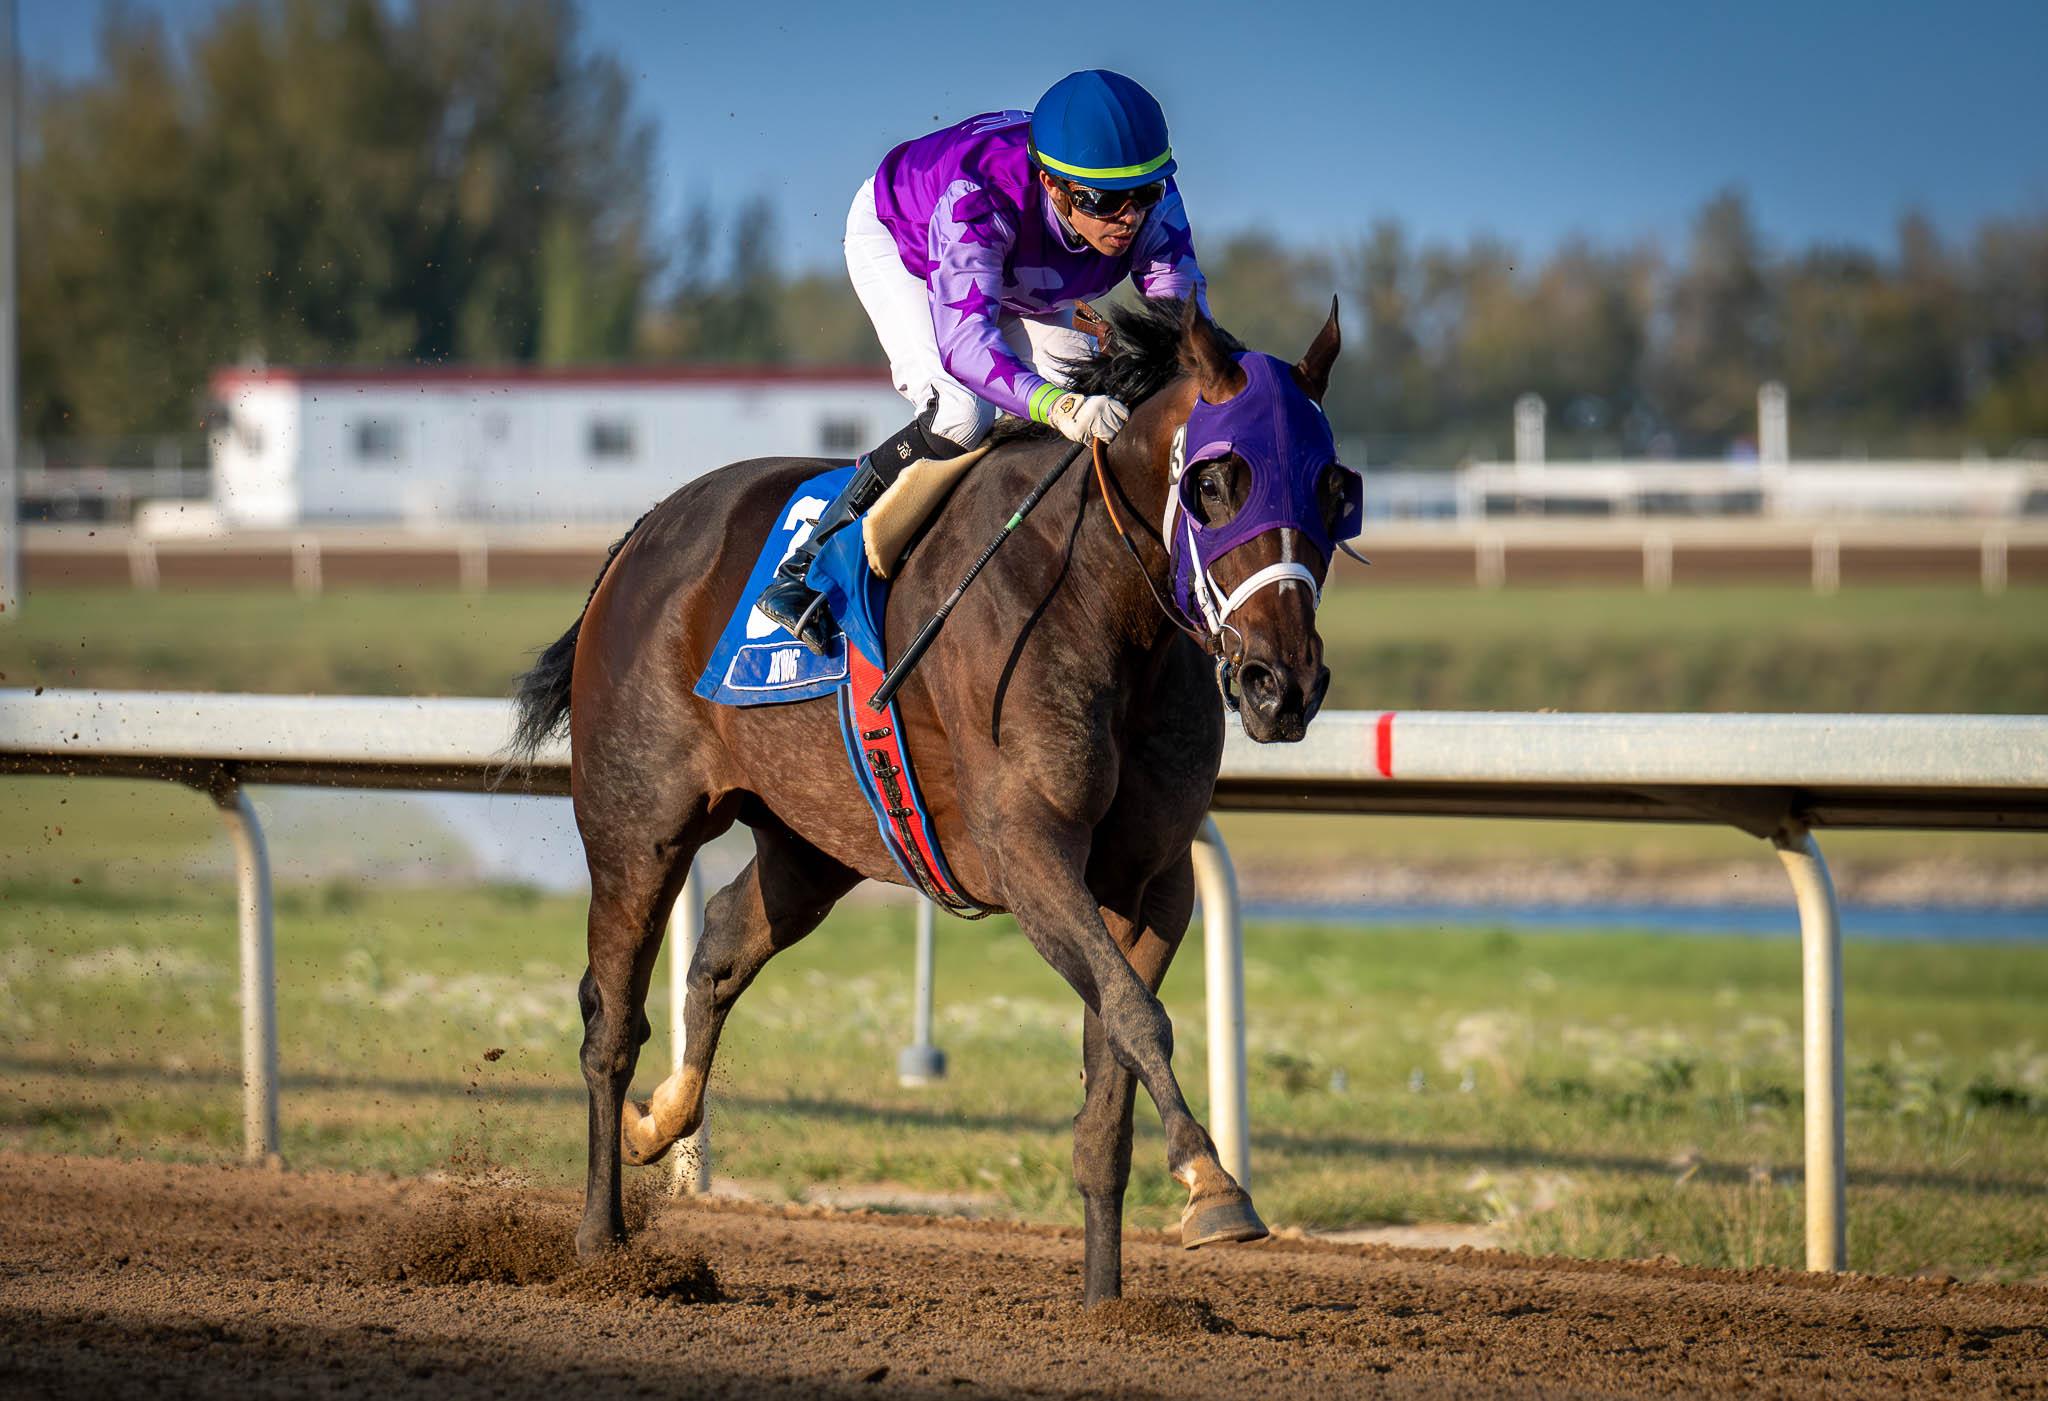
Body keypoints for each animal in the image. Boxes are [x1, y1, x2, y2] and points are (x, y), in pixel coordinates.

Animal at [508, 294, 1350, 1304]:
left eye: (1333, 489)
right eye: (1217, 482)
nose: (1281, 683)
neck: (1104, 601)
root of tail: (640, 535)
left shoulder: (1151, 880)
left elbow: (1112, 1066)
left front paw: (1108, 1298)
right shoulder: (1028, 848)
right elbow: (1139, 1016)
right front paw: (1212, 1178)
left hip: (812, 840)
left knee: (718, 947)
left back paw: (658, 1121)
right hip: (639, 825)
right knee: (609, 1018)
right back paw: (602, 1237)